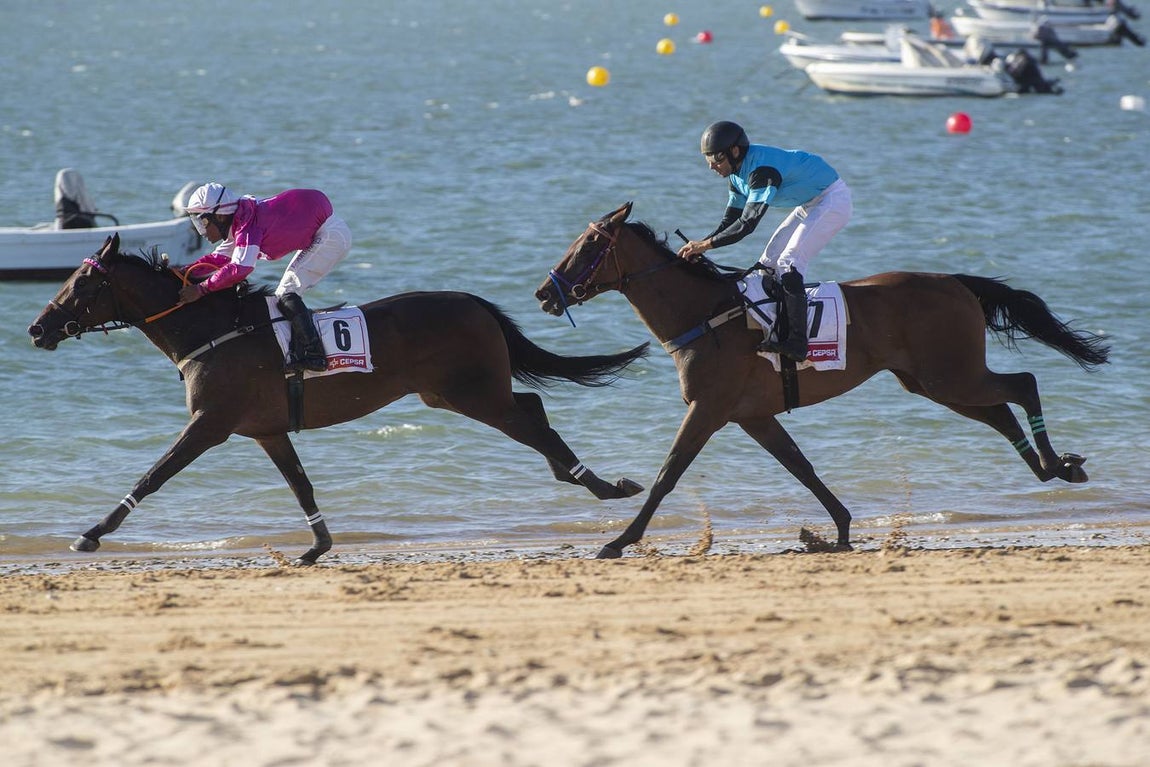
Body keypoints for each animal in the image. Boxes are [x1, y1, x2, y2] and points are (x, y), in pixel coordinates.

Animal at [27, 233, 649, 565]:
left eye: (80, 284)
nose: (37, 329)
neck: (210, 330)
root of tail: (474, 301)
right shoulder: (267, 430)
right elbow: (299, 483)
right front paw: (318, 543)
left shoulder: (210, 424)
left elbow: (154, 474)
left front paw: (91, 533)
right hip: (449, 394)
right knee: (533, 410)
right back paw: (578, 477)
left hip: (473, 394)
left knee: (534, 422)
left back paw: (603, 485)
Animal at [535, 202, 1110, 559]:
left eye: (587, 245)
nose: (544, 292)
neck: (704, 314)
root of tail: (957, 283)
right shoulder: (753, 415)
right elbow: (802, 468)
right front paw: (840, 527)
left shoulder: (709, 410)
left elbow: (667, 475)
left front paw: (618, 541)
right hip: (931, 381)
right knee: (1000, 412)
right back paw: (1050, 468)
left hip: (951, 376)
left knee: (1023, 384)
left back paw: (1058, 463)